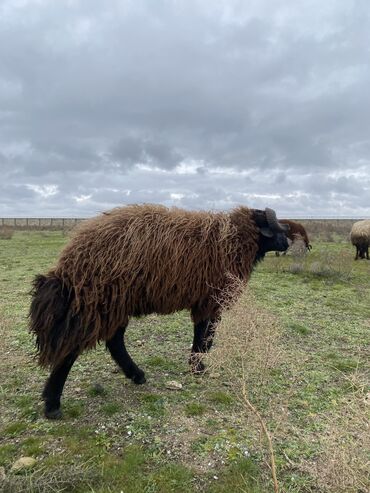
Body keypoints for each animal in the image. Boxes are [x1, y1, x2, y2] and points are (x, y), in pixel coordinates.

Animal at [29, 202, 290, 418]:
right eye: (275, 227)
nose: (287, 244)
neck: (233, 238)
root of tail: (70, 262)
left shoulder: (203, 301)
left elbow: (202, 334)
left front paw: (195, 364)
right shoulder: (210, 300)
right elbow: (206, 335)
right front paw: (198, 367)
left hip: (114, 305)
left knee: (114, 341)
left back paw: (136, 375)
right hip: (98, 305)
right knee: (72, 349)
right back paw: (52, 405)